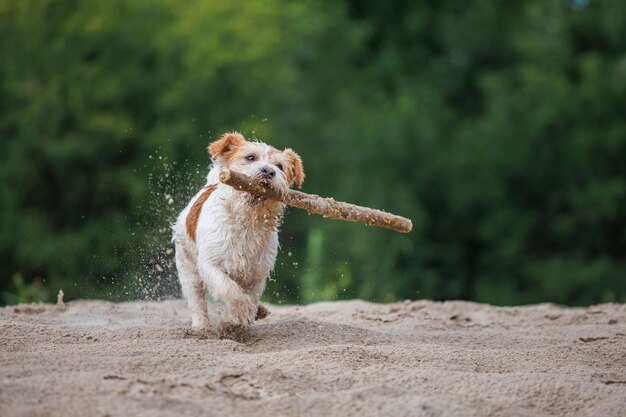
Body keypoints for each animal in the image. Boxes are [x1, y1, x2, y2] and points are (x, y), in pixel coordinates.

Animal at [172, 132, 304, 334]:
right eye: (250, 157)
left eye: (280, 166)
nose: (268, 171)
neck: (247, 220)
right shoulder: (211, 264)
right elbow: (229, 289)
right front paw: (240, 313)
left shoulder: (258, 274)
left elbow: (251, 295)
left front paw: (236, 319)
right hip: (187, 267)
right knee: (196, 300)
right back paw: (202, 327)